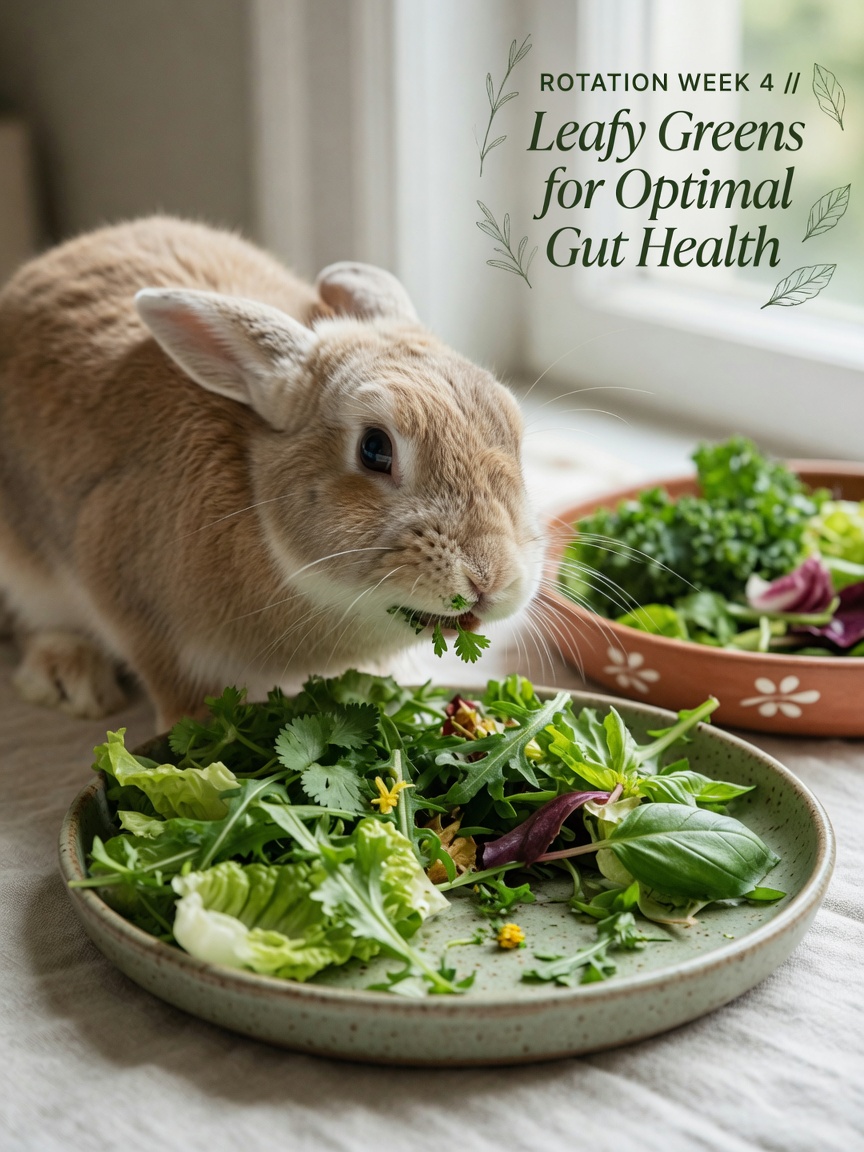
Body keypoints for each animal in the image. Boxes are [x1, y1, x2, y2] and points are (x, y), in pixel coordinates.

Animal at [0, 216, 543, 730]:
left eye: (513, 432)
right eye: (374, 448)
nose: (490, 578)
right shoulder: (127, 588)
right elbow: (171, 682)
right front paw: (188, 732)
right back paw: (69, 677)